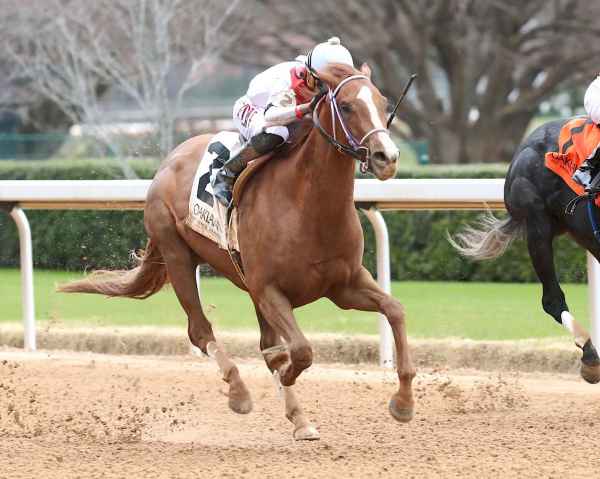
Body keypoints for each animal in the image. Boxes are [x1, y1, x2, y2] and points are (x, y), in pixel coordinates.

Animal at [58, 62, 414, 438]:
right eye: (345, 106)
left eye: (383, 102)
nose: (387, 157)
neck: (306, 205)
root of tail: (169, 160)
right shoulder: (268, 289)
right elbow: (301, 351)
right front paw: (287, 379)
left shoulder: (343, 285)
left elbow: (394, 309)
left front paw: (403, 403)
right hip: (177, 254)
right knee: (201, 331)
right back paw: (240, 393)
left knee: (266, 346)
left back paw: (299, 418)